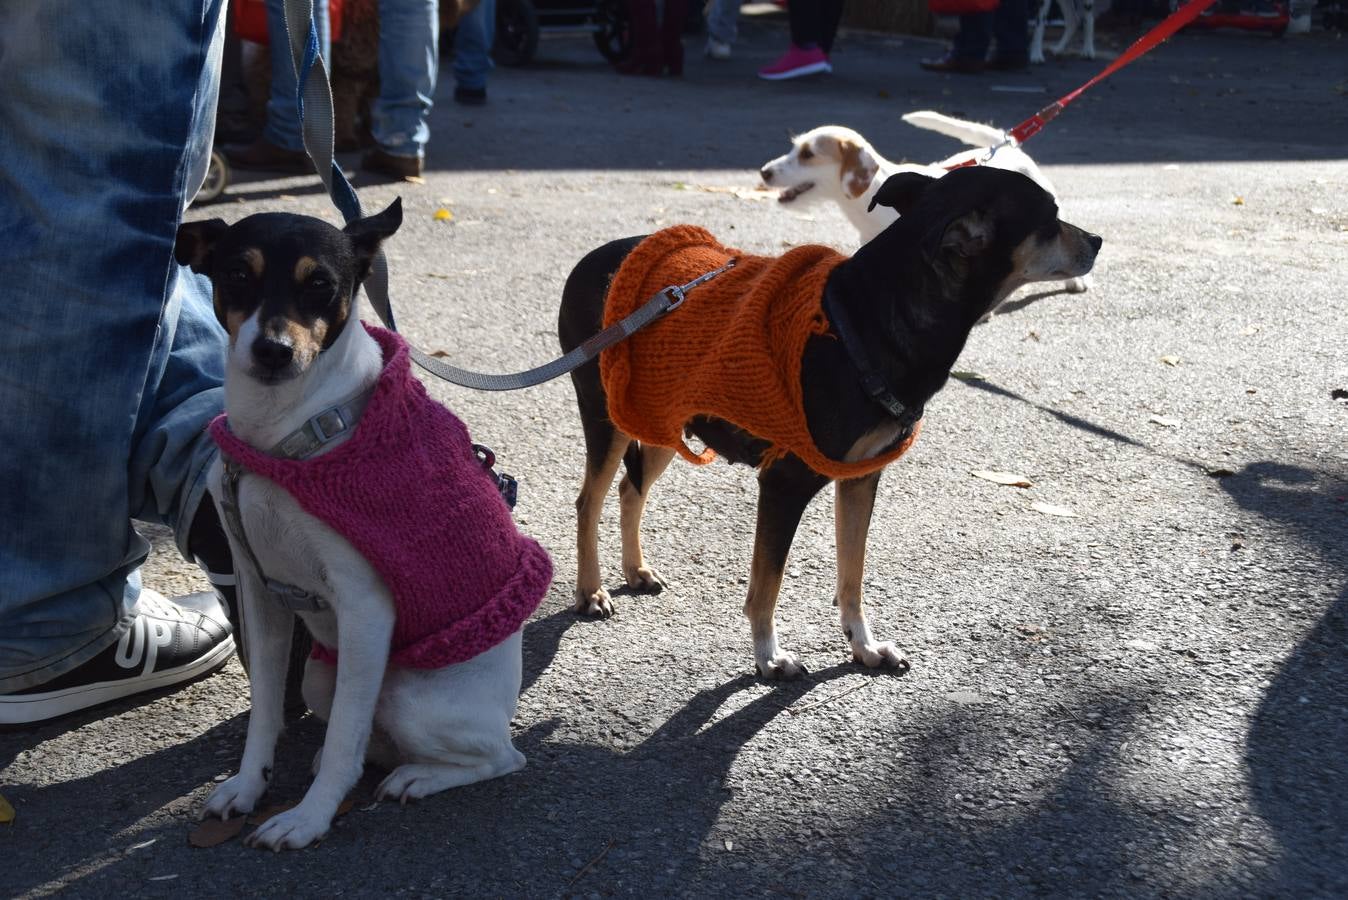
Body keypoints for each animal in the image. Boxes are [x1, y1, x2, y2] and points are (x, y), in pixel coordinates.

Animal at [176, 198, 549, 851]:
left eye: (321, 285)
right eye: (237, 275)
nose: (273, 351)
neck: (286, 435)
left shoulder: (365, 607)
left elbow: (343, 740)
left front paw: (307, 818)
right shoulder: (259, 595)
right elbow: (265, 713)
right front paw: (248, 785)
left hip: (405, 694)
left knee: (499, 757)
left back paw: (417, 778)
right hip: (321, 677)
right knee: (368, 735)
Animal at [552, 165, 1099, 679]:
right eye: (1050, 218)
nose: (1097, 241)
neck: (868, 320)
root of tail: (588, 261)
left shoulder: (861, 477)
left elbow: (851, 573)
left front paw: (864, 646)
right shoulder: (784, 482)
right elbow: (767, 584)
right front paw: (769, 657)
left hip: (659, 415)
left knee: (631, 489)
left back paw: (635, 570)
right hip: (607, 414)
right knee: (589, 500)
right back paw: (590, 591)